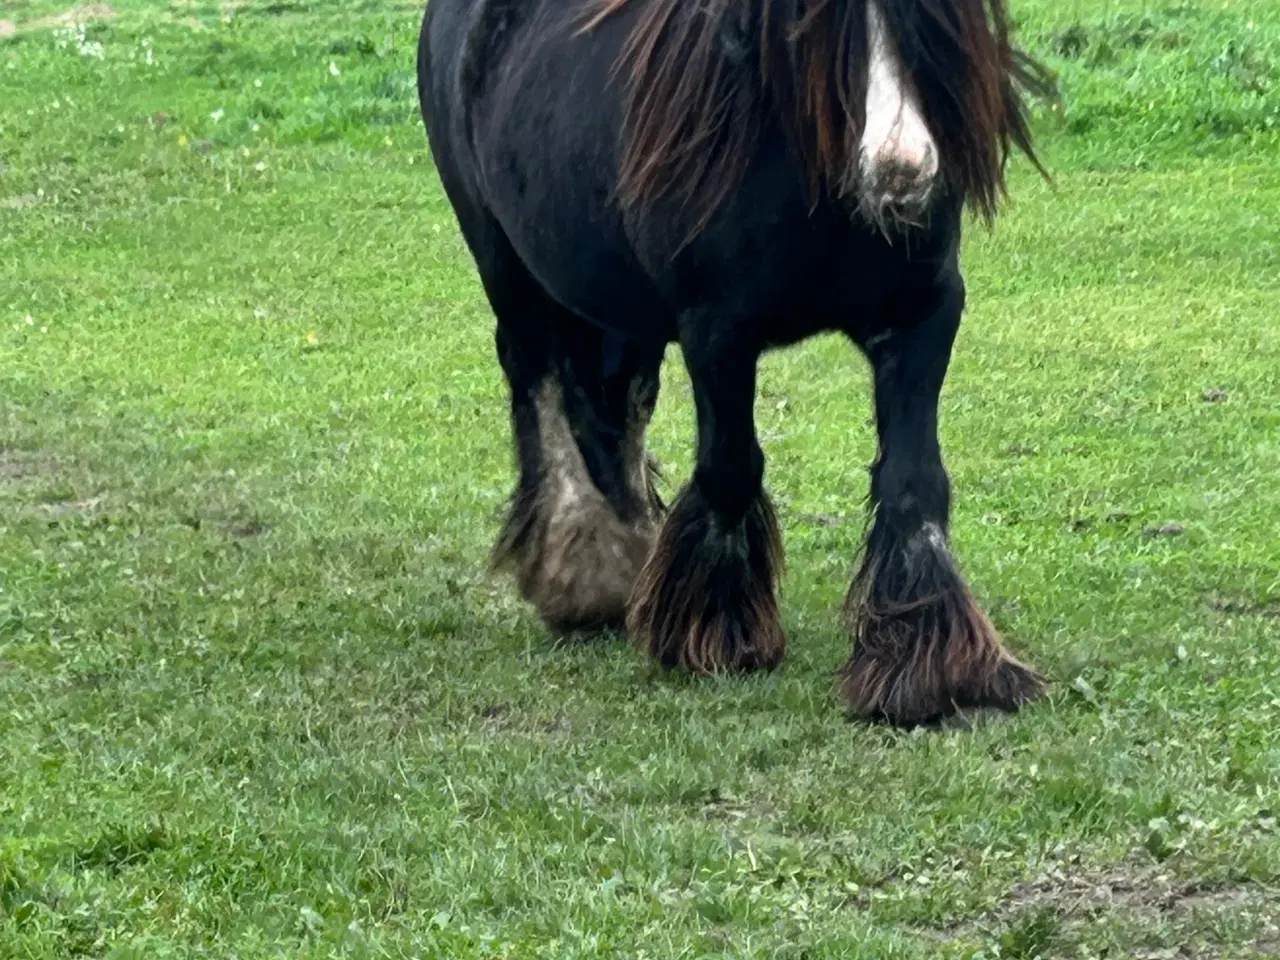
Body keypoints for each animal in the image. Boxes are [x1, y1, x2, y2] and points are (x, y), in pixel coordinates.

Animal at [417, 0, 1049, 727]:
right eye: (822, 30)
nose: (903, 171)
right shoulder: (717, 333)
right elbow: (730, 469)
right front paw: (715, 632)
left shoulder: (923, 316)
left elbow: (914, 480)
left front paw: (928, 661)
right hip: (511, 274)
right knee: (542, 396)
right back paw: (583, 578)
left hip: (619, 311)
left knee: (612, 414)